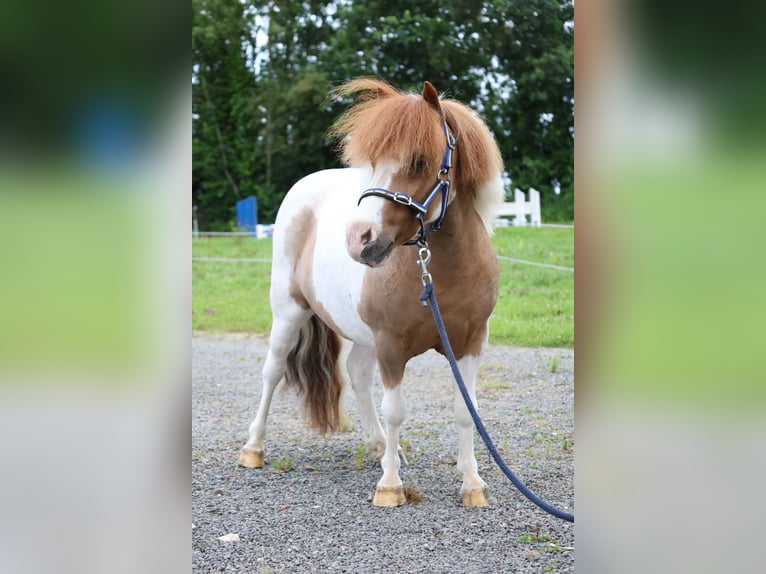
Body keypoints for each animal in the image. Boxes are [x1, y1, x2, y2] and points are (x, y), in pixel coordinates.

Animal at [238, 78, 504, 507]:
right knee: (273, 372)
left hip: (363, 335)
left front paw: (472, 484)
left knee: (357, 374)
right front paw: (390, 487)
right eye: (374, 161)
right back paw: (253, 449)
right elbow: (395, 409)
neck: (438, 272)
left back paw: (380, 446)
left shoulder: (471, 341)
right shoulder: (391, 345)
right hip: (289, 313)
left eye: (419, 161)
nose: (359, 239)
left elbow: (467, 411)